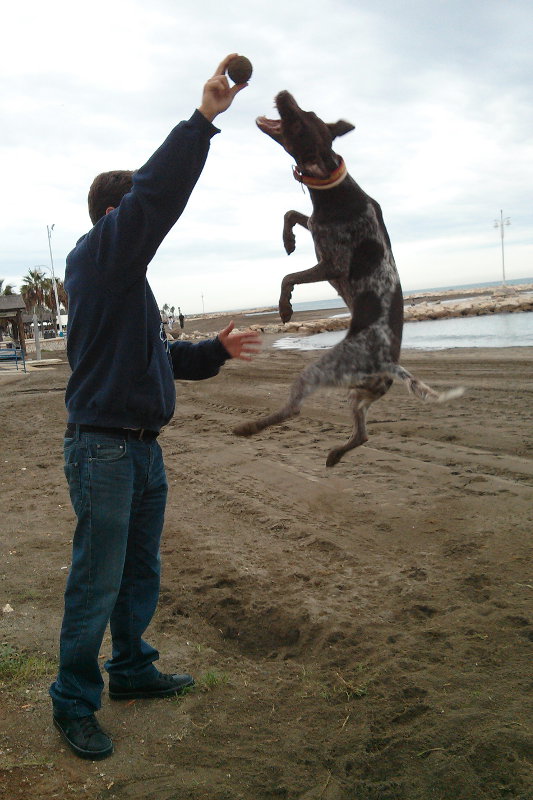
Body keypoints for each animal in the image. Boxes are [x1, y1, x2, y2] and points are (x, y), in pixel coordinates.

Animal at [233, 92, 462, 468]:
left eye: (300, 122)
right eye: (309, 111)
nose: (283, 94)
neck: (332, 186)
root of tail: (388, 363)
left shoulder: (332, 265)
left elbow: (287, 276)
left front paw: (285, 308)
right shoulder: (314, 225)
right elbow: (291, 214)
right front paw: (288, 240)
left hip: (321, 371)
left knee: (294, 409)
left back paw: (250, 427)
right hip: (360, 394)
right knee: (363, 434)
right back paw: (336, 454)